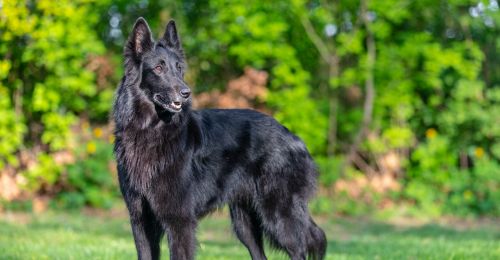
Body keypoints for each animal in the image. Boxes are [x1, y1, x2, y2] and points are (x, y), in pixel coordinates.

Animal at [112, 18, 328, 260]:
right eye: (158, 68)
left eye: (179, 69)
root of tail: (294, 138)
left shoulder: (179, 221)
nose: (186, 93)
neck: (150, 130)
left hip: (280, 215)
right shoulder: (141, 221)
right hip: (245, 225)